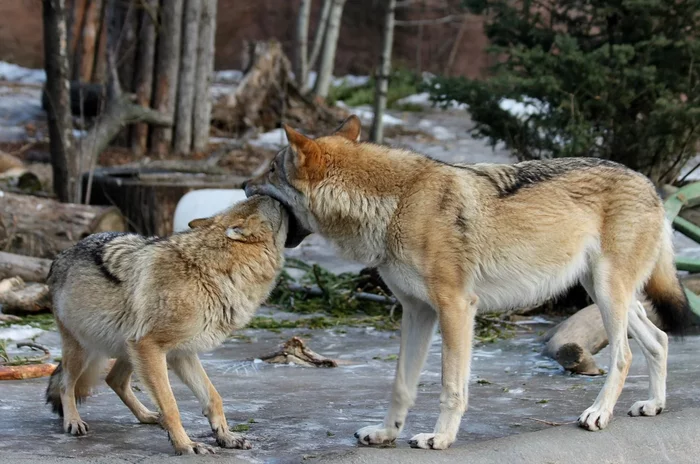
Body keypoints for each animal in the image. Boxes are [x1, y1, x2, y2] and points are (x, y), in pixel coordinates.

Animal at [45, 195, 304, 454]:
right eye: (279, 207)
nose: (281, 198)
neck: (210, 275)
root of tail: (62, 254)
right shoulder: (152, 346)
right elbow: (171, 405)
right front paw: (186, 444)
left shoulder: (181, 352)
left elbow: (213, 397)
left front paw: (226, 436)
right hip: (86, 351)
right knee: (66, 384)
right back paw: (73, 421)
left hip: (129, 349)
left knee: (114, 380)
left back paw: (148, 416)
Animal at [245, 115, 688, 450]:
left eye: (271, 169)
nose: (243, 186)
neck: (396, 204)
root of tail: (650, 185)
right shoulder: (416, 312)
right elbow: (401, 385)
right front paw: (386, 434)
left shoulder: (455, 307)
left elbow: (450, 385)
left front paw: (439, 438)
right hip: (605, 294)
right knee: (659, 340)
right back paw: (653, 404)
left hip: (609, 294)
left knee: (624, 356)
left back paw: (598, 413)